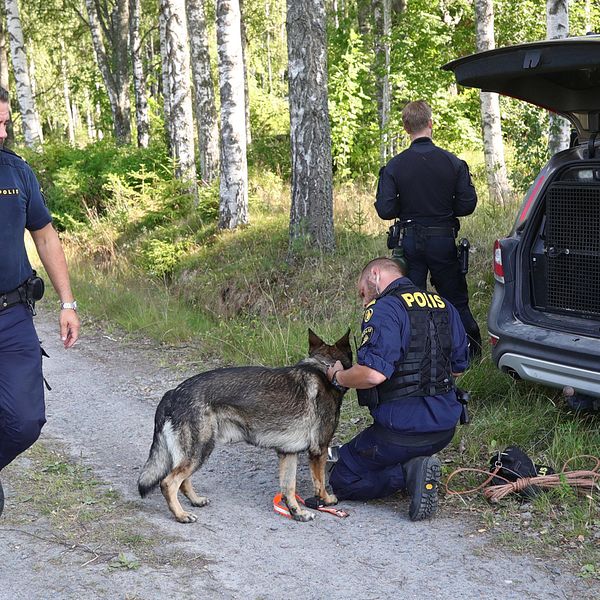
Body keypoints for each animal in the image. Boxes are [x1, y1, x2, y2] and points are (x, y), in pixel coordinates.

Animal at [137, 330, 352, 524]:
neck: (323, 368)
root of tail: (173, 392)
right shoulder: (319, 450)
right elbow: (320, 483)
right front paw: (325, 500)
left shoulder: (288, 453)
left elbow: (288, 488)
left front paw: (296, 512)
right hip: (199, 451)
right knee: (168, 482)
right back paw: (181, 515)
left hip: (193, 454)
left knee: (182, 480)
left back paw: (195, 500)